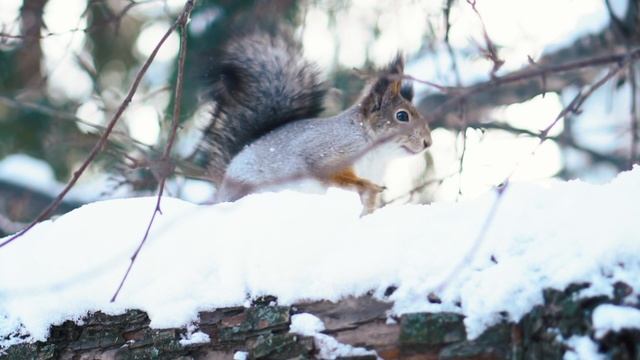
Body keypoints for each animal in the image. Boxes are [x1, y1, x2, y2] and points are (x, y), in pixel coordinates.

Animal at [198, 33, 432, 214]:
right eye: (402, 116)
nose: (428, 142)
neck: (376, 153)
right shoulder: (326, 151)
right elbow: (333, 175)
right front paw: (365, 185)